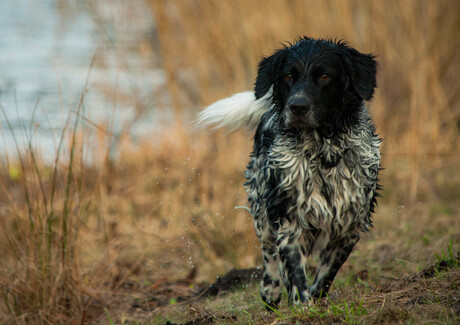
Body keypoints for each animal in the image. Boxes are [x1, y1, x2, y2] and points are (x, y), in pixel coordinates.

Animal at [197, 37, 380, 306]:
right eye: (288, 76)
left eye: (325, 76)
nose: (297, 106)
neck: (322, 153)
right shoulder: (289, 219)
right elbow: (295, 272)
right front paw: (303, 305)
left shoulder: (350, 225)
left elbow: (326, 274)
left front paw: (315, 299)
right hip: (262, 211)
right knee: (270, 256)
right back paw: (270, 289)